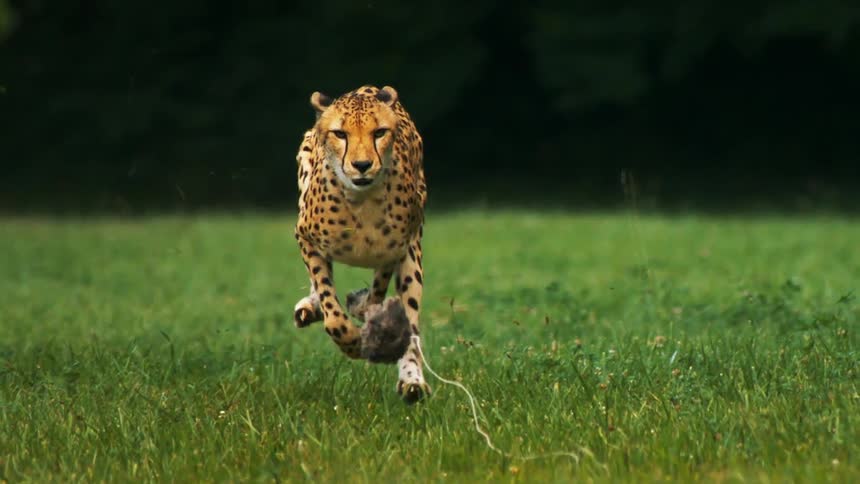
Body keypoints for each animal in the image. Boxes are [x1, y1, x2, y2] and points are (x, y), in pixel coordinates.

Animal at [292, 85, 430, 403]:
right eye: (340, 134)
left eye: (379, 132)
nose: (362, 165)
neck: (360, 200)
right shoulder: (306, 237)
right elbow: (332, 310)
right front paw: (352, 339)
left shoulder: (395, 252)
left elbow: (380, 298)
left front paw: (364, 314)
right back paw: (310, 307)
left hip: (412, 258)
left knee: (408, 320)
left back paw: (412, 381)